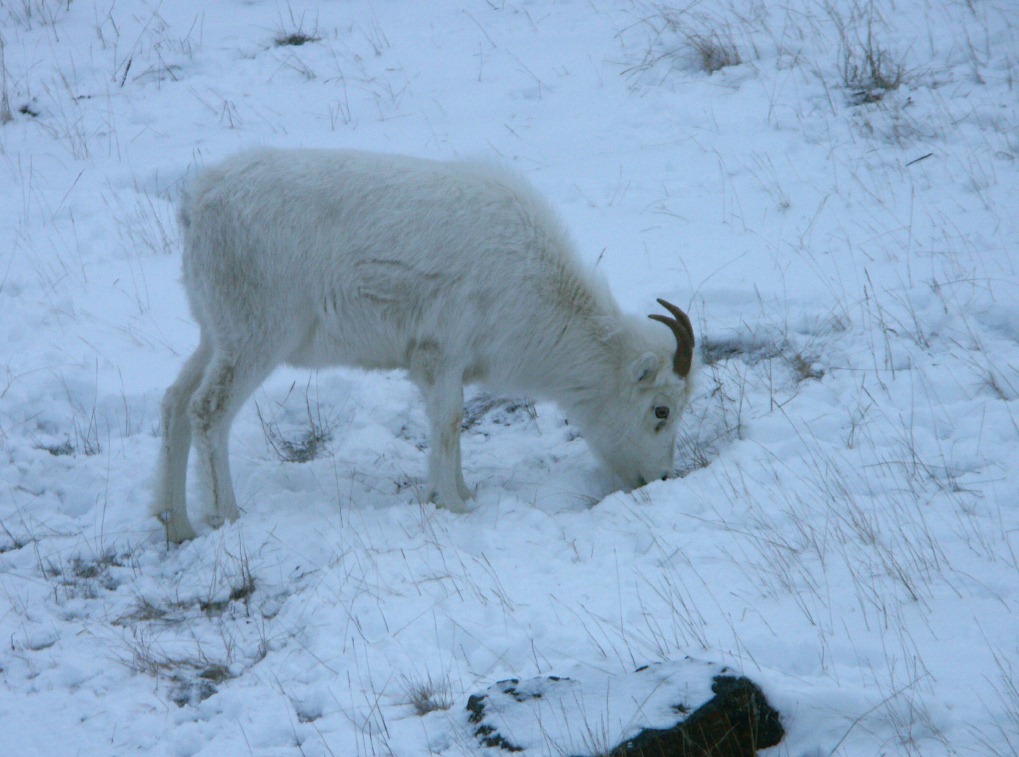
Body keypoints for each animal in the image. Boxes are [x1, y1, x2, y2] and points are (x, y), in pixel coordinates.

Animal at [152, 148, 695, 542]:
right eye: (661, 411)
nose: (664, 479)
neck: (534, 287)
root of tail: (198, 203)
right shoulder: (440, 357)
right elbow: (449, 424)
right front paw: (451, 503)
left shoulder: (447, 367)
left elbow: (450, 427)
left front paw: (464, 493)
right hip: (254, 340)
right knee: (208, 411)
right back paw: (227, 517)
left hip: (214, 336)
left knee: (176, 402)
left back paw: (177, 527)